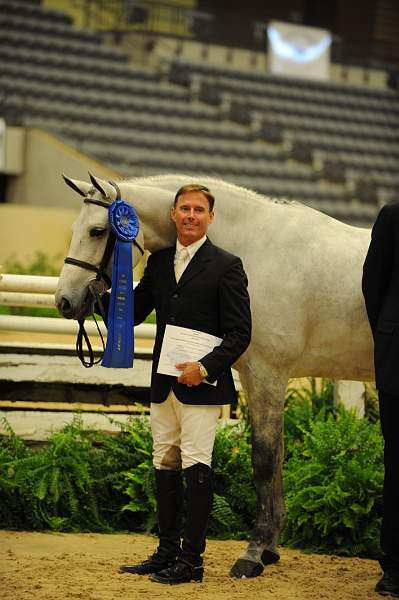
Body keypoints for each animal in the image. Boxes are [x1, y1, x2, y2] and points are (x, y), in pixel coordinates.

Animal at [55, 172, 376, 576]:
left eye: (97, 231)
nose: (65, 301)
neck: (255, 247)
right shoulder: (258, 378)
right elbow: (275, 458)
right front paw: (270, 549)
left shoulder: (268, 375)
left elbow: (264, 460)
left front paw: (253, 553)